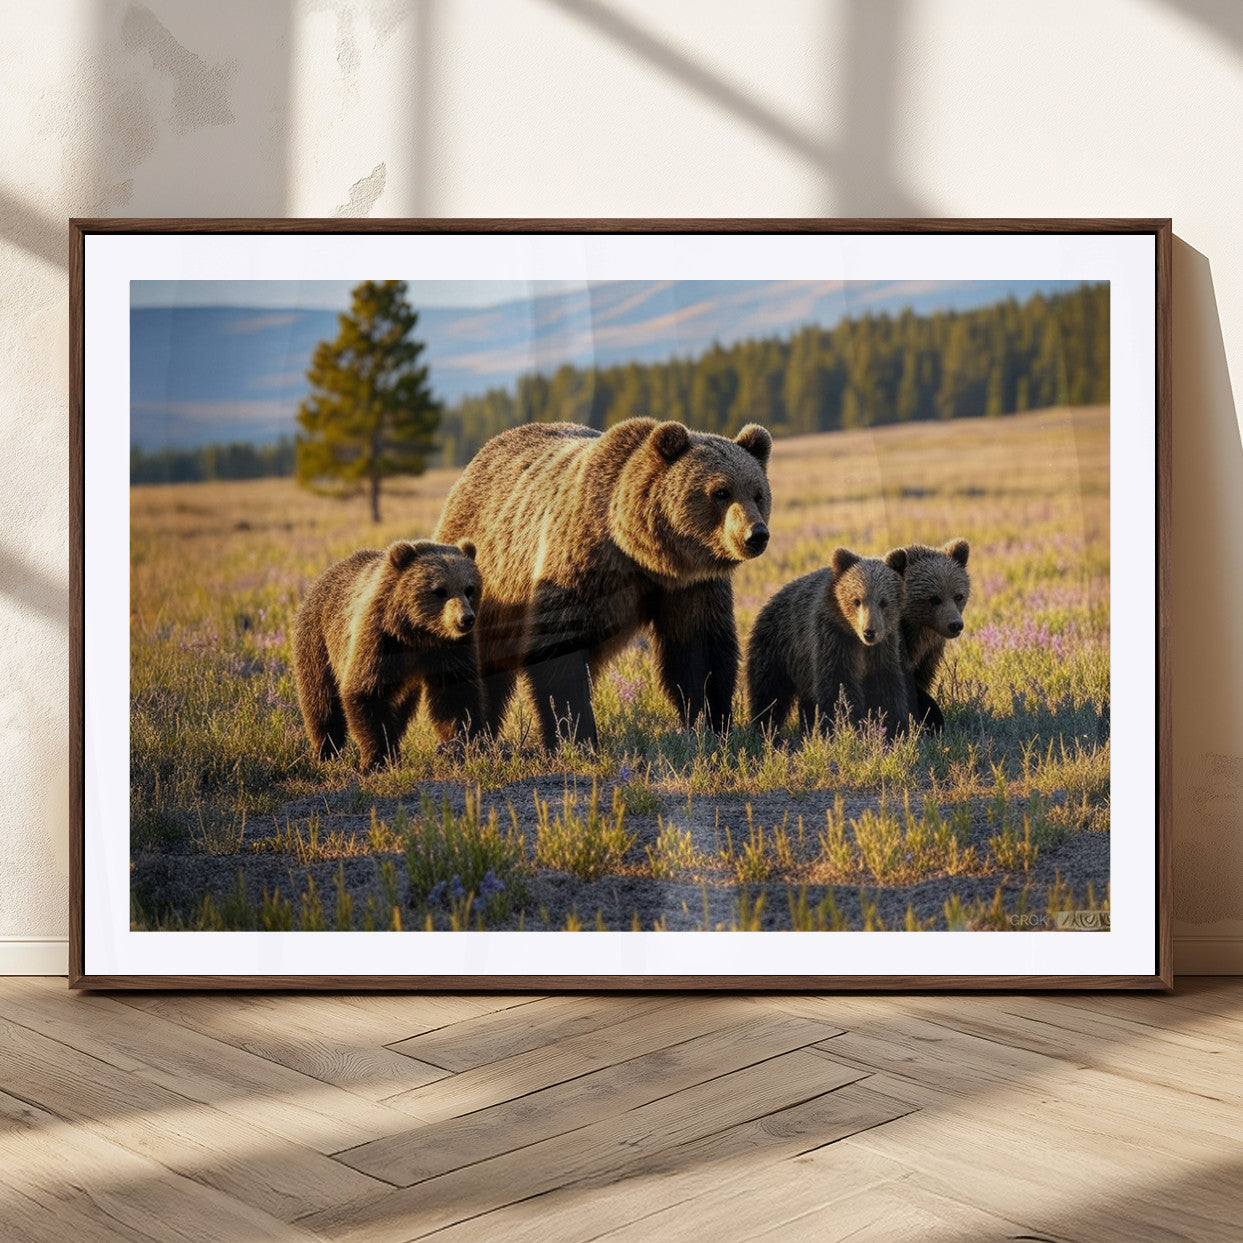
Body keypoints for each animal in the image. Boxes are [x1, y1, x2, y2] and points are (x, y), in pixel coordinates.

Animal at [293, 539, 482, 771]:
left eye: (469, 588)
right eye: (440, 590)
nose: (466, 619)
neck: (418, 634)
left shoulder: (451, 648)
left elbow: (456, 693)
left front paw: (463, 744)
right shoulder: (380, 638)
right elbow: (366, 691)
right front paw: (378, 758)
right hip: (318, 642)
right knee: (320, 699)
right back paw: (326, 751)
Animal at [433, 417, 773, 749]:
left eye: (758, 493)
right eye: (721, 492)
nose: (756, 535)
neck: (641, 553)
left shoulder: (690, 586)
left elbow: (699, 651)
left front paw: (711, 726)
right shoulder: (578, 564)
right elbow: (559, 651)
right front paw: (574, 735)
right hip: (479, 586)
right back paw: (467, 736)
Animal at [746, 546, 910, 738]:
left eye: (883, 602)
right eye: (857, 600)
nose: (869, 632)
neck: (856, 639)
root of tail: (771, 598)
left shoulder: (882, 649)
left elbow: (885, 687)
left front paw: (895, 727)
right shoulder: (832, 639)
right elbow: (838, 686)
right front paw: (846, 726)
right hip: (778, 647)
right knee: (769, 690)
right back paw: (766, 728)